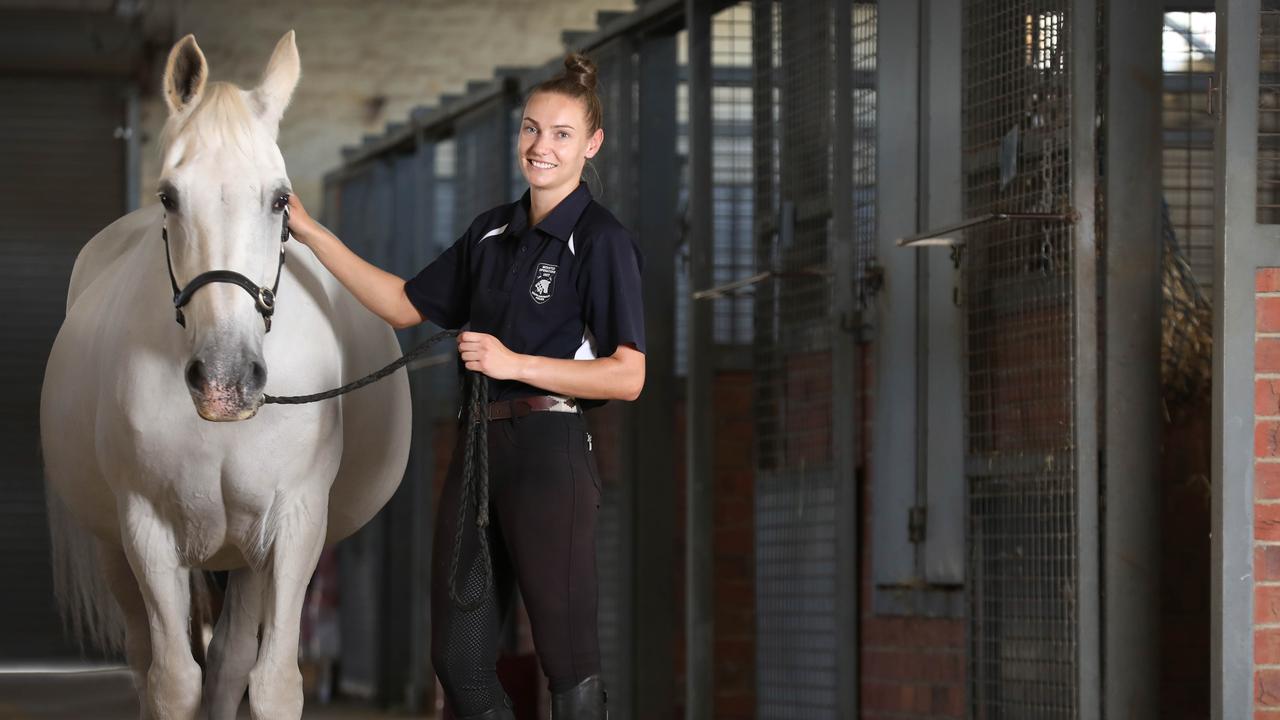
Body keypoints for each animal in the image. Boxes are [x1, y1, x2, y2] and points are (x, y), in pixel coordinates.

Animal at [38, 29, 409, 717]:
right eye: (169, 196)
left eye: (281, 198)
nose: (225, 380)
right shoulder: (147, 530)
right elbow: (173, 681)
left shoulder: (294, 526)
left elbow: (270, 681)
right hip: (116, 550)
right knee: (147, 658)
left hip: (245, 555)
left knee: (232, 659)